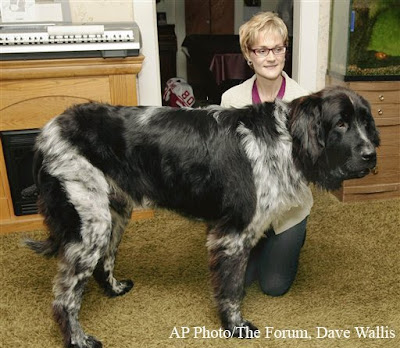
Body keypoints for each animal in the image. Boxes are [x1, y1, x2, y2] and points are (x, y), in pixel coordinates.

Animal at [27, 85, 378, 346]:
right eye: (341, 123)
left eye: (365, 122)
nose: (371, 155)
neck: (283, 140)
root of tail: (46, 132)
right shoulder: (232, 235)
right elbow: (232, 289)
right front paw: (235, 328)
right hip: (91, 223)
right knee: (65, 298)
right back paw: (78, 339)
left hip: (114, 212)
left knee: (105, 263)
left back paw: (114, 289)